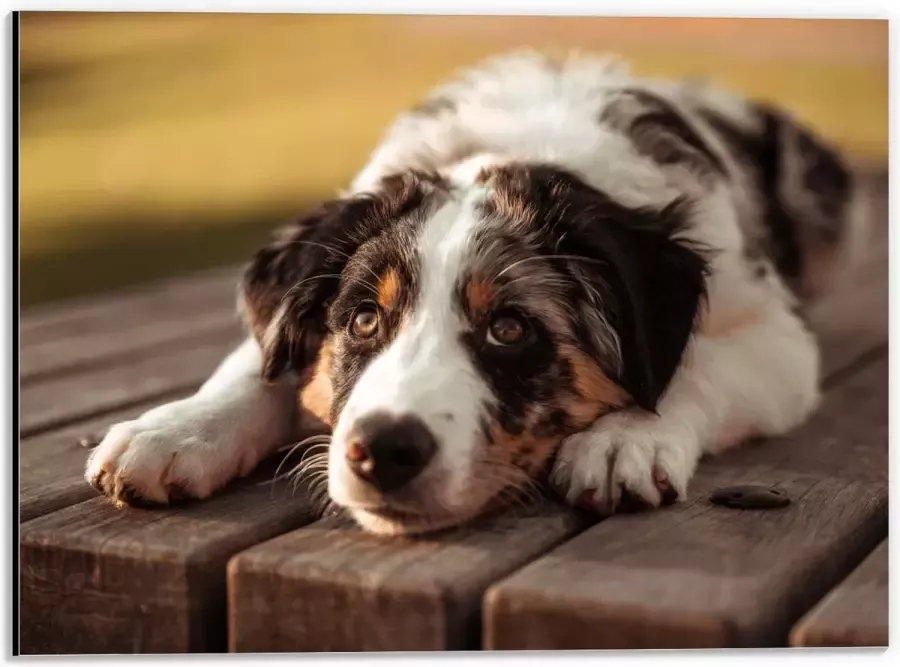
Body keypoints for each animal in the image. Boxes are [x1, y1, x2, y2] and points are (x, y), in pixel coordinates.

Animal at [84, 51, 864, 536]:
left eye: (510, 329)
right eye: (362, 320)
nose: (382, 451)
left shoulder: (776, 336)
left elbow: (694, 366)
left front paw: (625, 439)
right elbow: (257, 361)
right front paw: (175, 431)